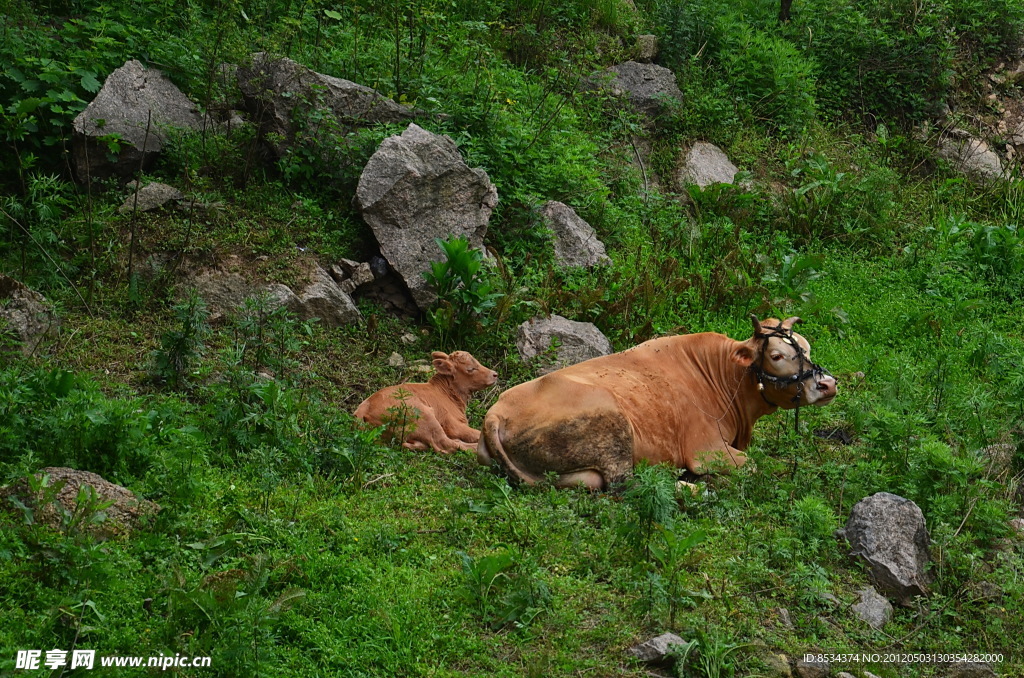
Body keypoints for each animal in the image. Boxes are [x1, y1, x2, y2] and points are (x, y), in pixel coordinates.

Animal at [352, 352, 495, 454]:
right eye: (470, 369)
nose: (495, 374)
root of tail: (362, 409)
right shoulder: (453, 425)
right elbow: (477, 433)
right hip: (425, 416)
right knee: (446, 445)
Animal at [475, 317, 835, 489]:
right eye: (777, 356)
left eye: (807, 347)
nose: (827, 384)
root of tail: (496, 413)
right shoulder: (706, 450)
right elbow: (753, 466)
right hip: (612, 425)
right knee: (625, 486)